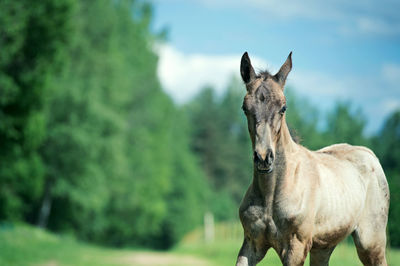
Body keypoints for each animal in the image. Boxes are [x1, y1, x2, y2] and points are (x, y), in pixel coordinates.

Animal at [236, 52, 390, 266]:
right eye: (245, 108)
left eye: (283, 108)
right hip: (323, 246)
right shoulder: (251, 244)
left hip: (371, 243)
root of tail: (370, 155)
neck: (271, 194)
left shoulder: (296, 248)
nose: (264, 158)